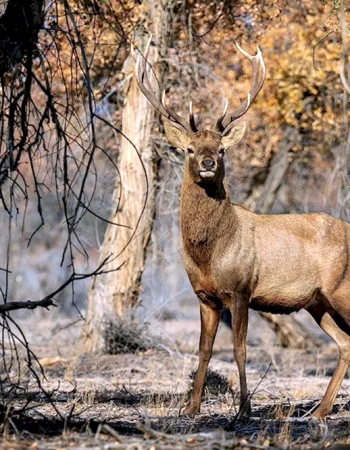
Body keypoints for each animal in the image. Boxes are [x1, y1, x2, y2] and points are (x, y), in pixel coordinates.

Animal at [135, 37, 350, 420]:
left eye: (221, 149)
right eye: (189, 148)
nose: (207, 162)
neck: (211, 252)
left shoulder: (241, 289)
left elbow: (240, 349)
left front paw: (244, 410)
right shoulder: (204, 297)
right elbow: (204, 350)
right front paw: (191, 407)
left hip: (342, 287)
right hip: (318, 301)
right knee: (345, 345)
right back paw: (320, 411)